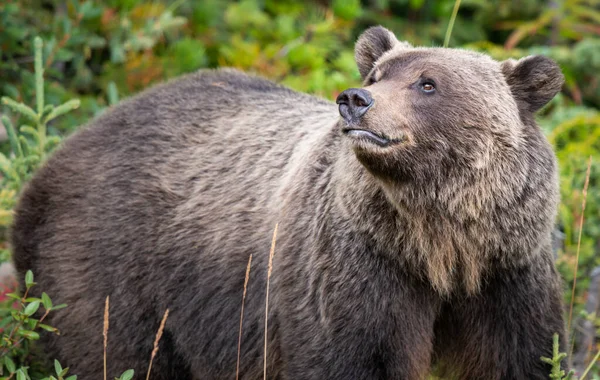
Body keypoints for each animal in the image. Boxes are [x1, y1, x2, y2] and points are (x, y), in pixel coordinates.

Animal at [12, 25, 568, 378]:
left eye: (427, 83)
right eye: (377, 75)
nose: (355, 99)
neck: (439, 244)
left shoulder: (507, 273)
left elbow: (519, 356)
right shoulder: (355, 268)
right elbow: (352, 357)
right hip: (108, 266)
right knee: (106, 353)